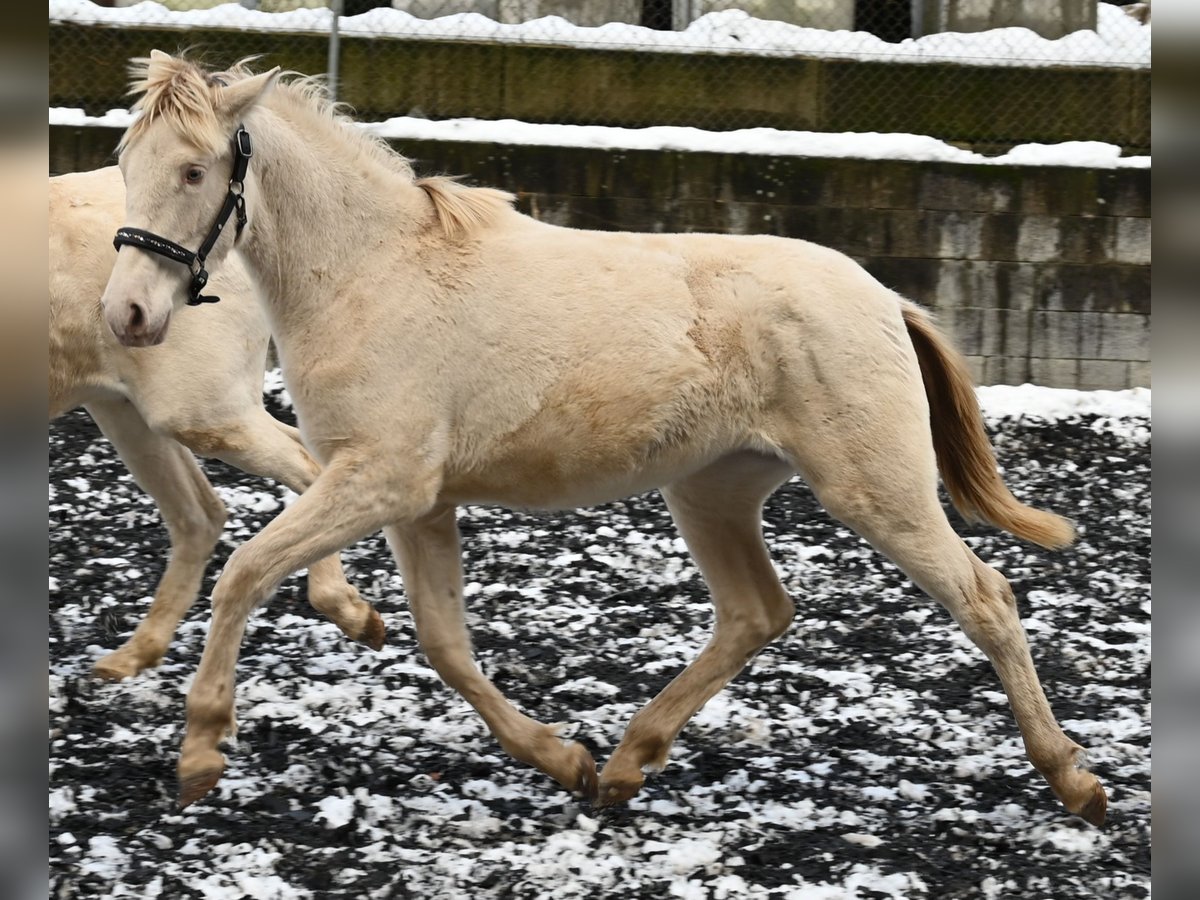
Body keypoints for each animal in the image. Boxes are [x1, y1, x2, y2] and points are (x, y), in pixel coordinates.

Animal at [48, 165, 379, 681]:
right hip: (127, 409)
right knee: (201, 514)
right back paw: (134, 654)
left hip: (195, 410)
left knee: (301, 467)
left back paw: (351, 612)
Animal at [98, 52, 1108, 830]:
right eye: (126, 160)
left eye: (194, 171)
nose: (127, 316)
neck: (373, 274)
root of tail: (885, 298)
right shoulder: (417, 501)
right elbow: (445, 643)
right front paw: (561, 759)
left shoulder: (378, 481)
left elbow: (244, 573)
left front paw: (200, 753)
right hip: (712, 490)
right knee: (757, 612)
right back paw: (625, 763)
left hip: (875, 489)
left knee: (984, 596)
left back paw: (1075, 780)